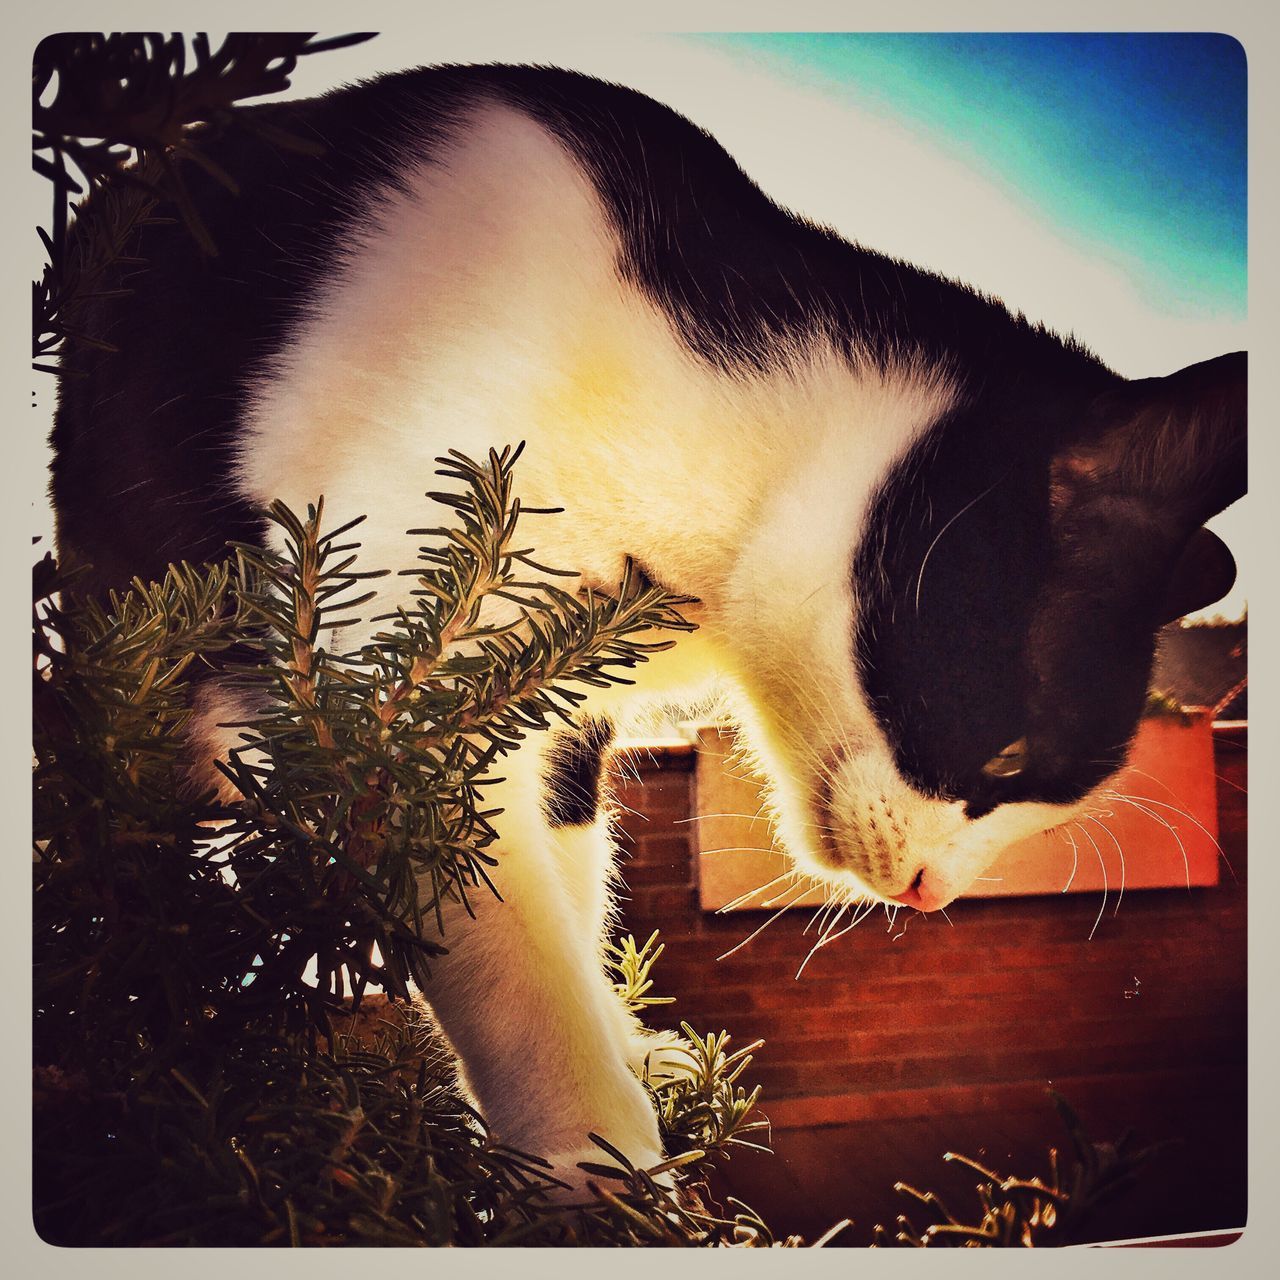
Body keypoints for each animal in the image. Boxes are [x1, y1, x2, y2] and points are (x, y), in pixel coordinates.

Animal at [55, 64, 1244, 1187]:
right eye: (1004, 756)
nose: (932, 893)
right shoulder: (395, 678)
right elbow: (514, 956)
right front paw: (594, 1169)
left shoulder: (554, 700)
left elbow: (570, 880)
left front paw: (625, 1064)